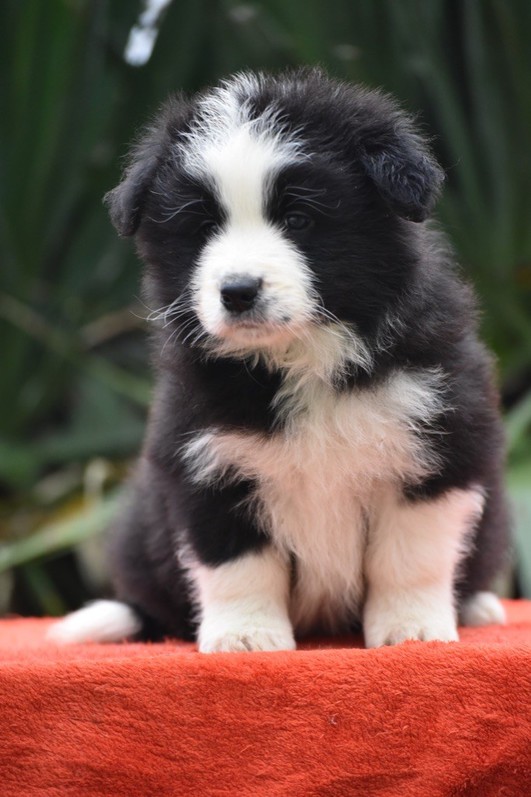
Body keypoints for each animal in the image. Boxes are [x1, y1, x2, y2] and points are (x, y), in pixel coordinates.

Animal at [50, 70, 512, 652]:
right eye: (203, 227)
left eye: (298, 218)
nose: (237, 291)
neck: (302, 355)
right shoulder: (205, 459)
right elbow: (235, 561)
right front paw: (245, 636)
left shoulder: (439, 444)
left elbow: (410, 555)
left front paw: (412, 629)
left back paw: (477, 605)